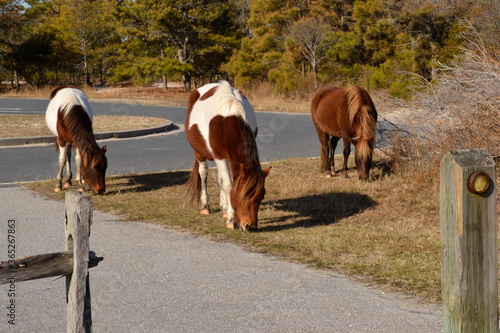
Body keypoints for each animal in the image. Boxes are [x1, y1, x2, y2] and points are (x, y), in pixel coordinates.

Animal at [185, 80, 270, 231]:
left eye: (260, 198)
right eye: (245, 195)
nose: (250, 226)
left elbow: (224, 182)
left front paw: (227, 211)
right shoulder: (219, 156)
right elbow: (228, 185)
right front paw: (231, 219)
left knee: (220, 179)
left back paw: (224, 208)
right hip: (199, 153)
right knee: (203, 174)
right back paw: (205, 206)